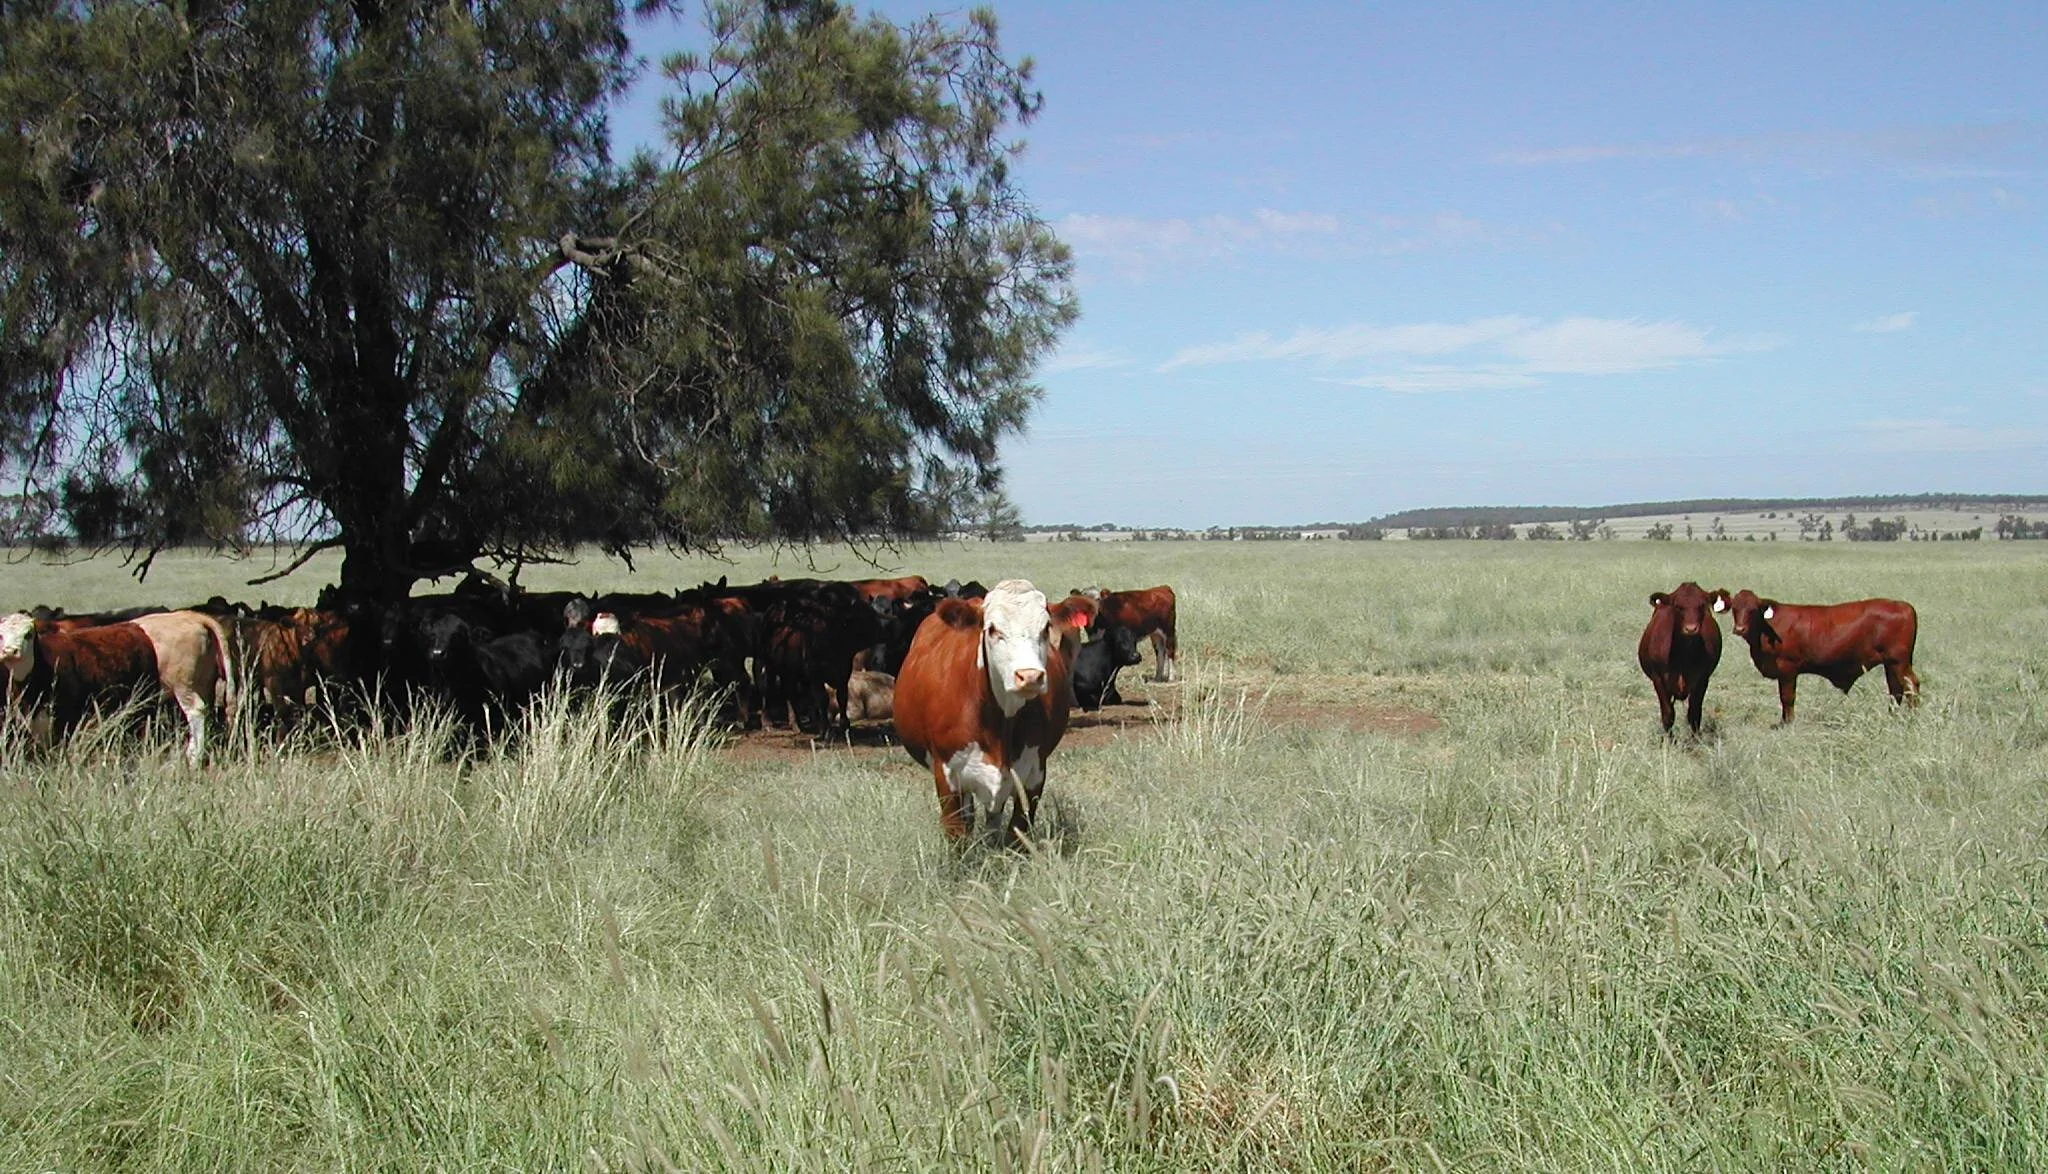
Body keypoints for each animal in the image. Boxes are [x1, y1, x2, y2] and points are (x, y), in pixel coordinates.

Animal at [892, 579, 1092, 845]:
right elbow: (957, 835)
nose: (1030, 676)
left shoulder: (1033, 773)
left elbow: (1017, 833)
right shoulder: (947, 775)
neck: (1000, 720)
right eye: (993, 629)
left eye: (1045, 628)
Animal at [1638, 582, 1723, 736]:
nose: (1691, 628)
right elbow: (1668, 715)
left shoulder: (1702, 679)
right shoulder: (1658, 679)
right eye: (1677, 606)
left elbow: (1694, 714)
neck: (1683, 655)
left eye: (1702, 605)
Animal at [1714, 589, 1920, 723]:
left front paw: (1788, 723)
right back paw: (1892, 717)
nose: (1739, 629)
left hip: (1898, 661)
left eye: (1753, 610)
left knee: (1911, 685)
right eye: (1735, 609)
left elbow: (1787, 697)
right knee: (1896, 689)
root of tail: (1903, 605)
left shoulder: (1787, 669)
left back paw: (1913, 717)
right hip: (1891, 664)